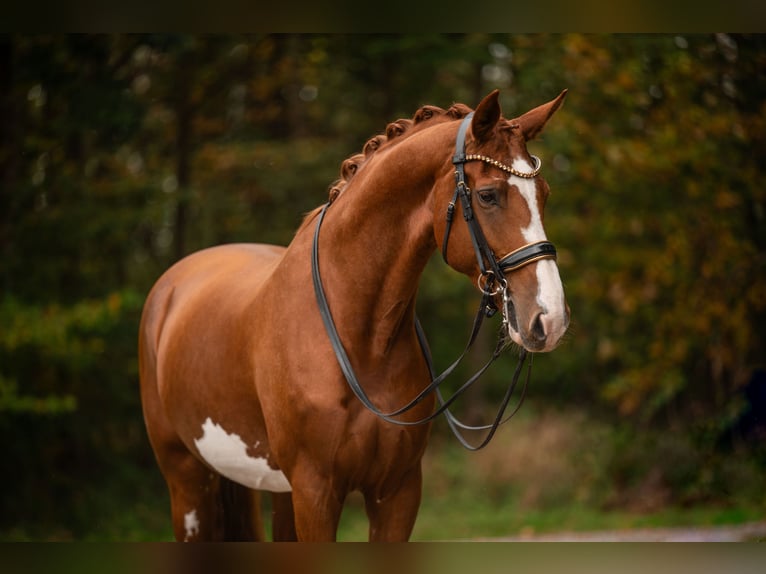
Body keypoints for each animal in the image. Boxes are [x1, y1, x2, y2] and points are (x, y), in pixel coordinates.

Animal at [140, 88, 568, 544]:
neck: (361, 342)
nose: (549, 318)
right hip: (188, 482)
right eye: (488, 195)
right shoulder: (316, 491)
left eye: (544, 194)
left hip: (275, 491)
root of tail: (172, 285)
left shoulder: (397, 491)